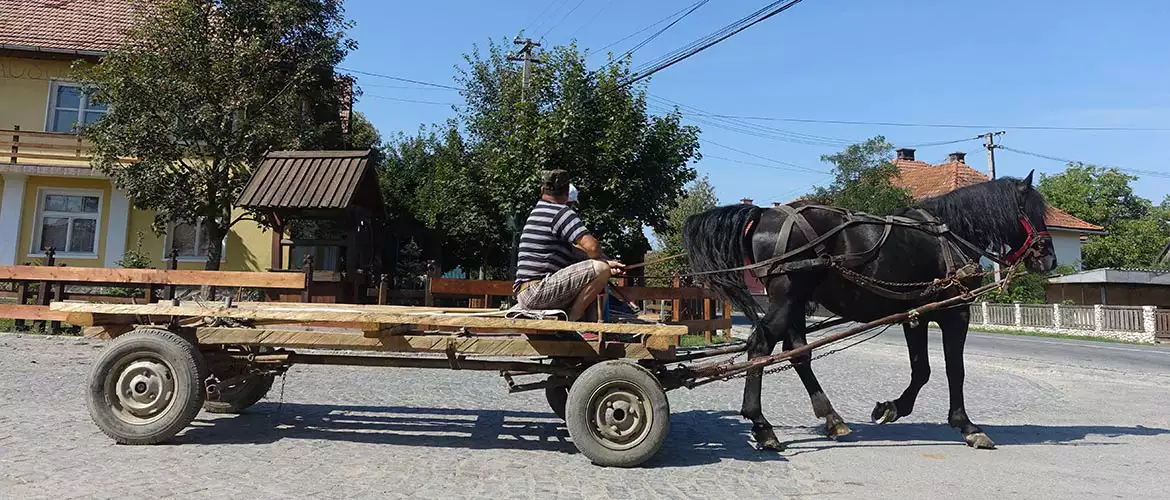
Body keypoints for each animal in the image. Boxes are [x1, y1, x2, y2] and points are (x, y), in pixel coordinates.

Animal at [683, 172, 1057, 449]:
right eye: (1034, 214)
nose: (1049, 258)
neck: (950, 235)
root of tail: (765, 214)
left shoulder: (916, 315)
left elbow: (922, 370)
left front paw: (892, 408)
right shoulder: (955, 312)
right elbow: (955, 370)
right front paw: (966, 426)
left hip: (795, 302)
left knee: (796, 353)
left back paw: (831, 418)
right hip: (787, 298)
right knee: (761, 346)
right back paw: (762, 425)